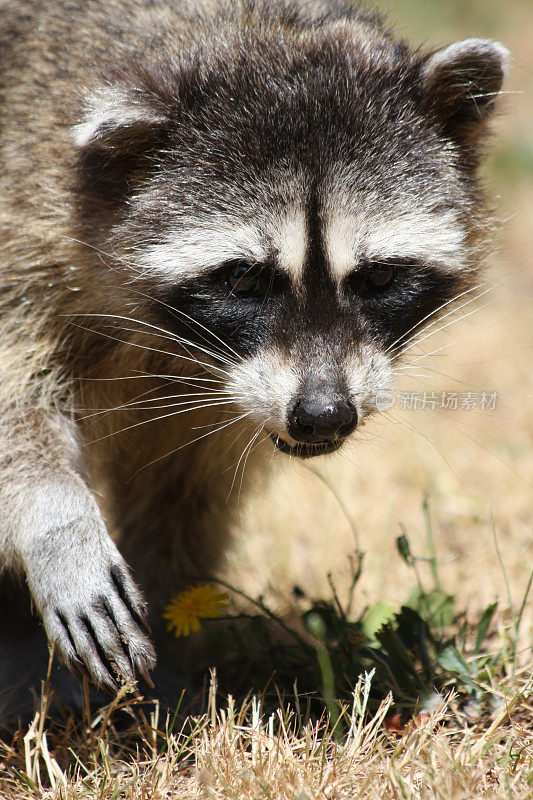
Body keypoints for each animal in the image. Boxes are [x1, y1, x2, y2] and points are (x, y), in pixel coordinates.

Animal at [0, 0, 508, 712]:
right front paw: (57, 524)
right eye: (244, 280)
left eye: (380, 279)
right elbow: (16, 409)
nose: (323, 415)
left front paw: (171, 640)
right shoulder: (26, 226)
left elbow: (183, 494)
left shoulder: (217, 396)